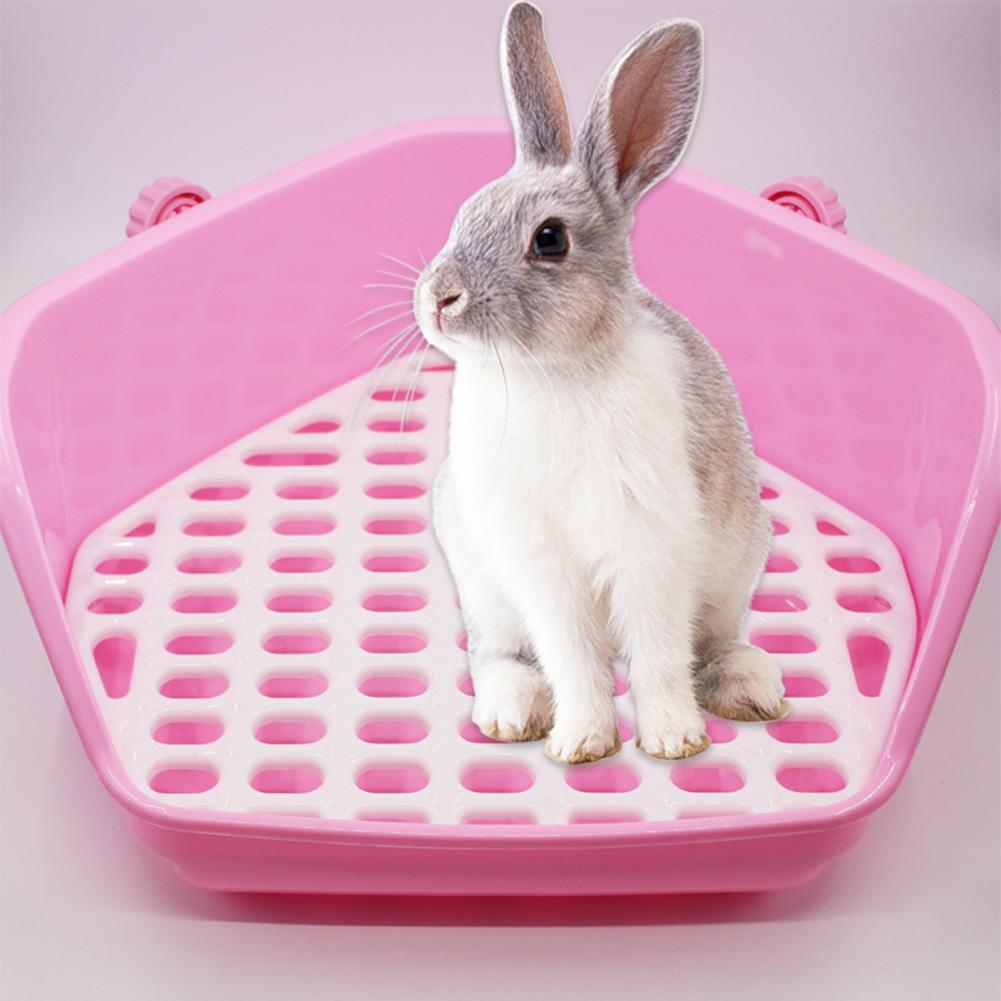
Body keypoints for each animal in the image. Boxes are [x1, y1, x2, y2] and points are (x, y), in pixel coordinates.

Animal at [412, 2, 790, 764]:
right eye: (464, 214)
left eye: (549, 239)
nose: (438, 298)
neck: (552, 372)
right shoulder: (541, 565)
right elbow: (573, 656)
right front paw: (582, 742)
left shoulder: (649, 547)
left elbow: (658, 653)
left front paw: (673, 740)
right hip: (483, 585)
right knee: (498, 655)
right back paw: (511, 714)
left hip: (735, 571)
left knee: (710, 644)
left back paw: (750, 689)